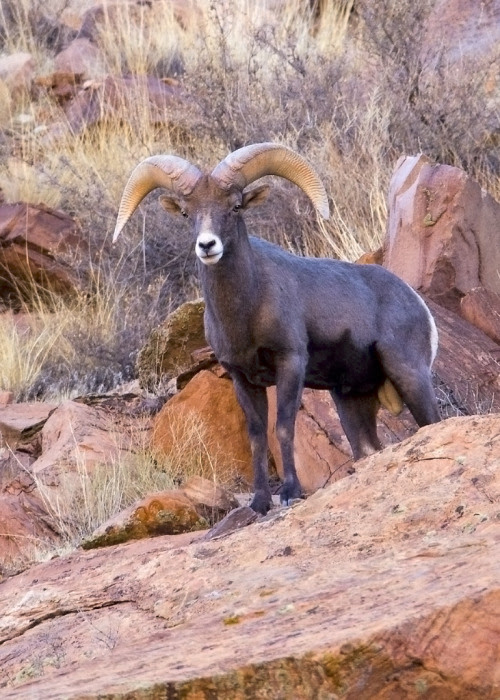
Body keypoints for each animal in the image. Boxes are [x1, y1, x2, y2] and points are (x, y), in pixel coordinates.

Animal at [113, 142, 440, 515]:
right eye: (186, 213)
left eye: (235, 206)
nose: (207, 246)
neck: (246, 312)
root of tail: (416, 302)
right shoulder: (242, 378)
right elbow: (257, 436)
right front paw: (259, 502)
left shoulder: (290, 363)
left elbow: (283, 427)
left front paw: (289, 493)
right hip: (351, 400)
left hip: (409, 375)